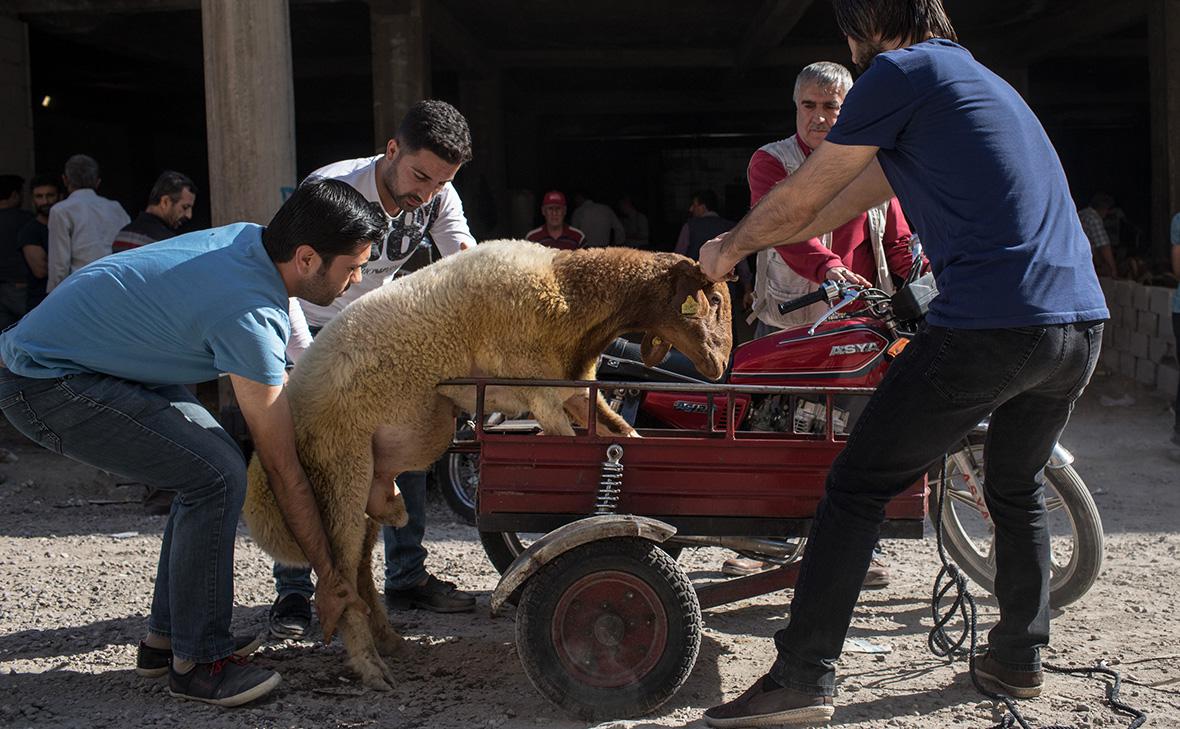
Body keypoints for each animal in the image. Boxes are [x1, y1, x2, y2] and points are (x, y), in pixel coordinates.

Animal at [244, 238, 731, 688]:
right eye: (714, 300)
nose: (721, 365)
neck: (569, 292)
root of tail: (290, 401)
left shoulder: (574, 387)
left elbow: (622, 434)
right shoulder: (542, 394)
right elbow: (577, 446)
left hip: (369, 480)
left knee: (361, 570)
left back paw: (391, 642)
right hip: (341, 464)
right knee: (339, 574)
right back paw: (370, 666)